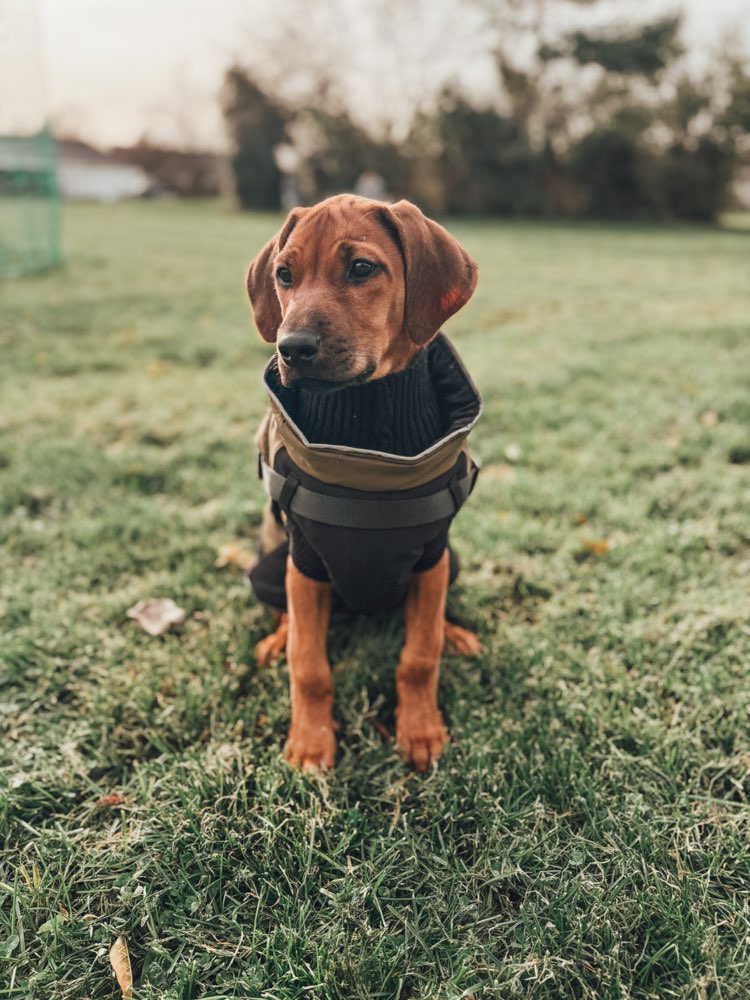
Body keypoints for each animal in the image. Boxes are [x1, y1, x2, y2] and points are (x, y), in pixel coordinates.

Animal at [247, 197, 482, 772]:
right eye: (283, 275)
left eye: (361, 268)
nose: (292, 347)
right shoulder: (305, 563)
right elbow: (309, 665)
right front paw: (311, 743)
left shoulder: (431, 556)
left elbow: (419, 655)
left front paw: (420, 730)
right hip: (269, 567)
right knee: (287, 619)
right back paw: (275, 640)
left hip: (451, 561)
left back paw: (455, 633)